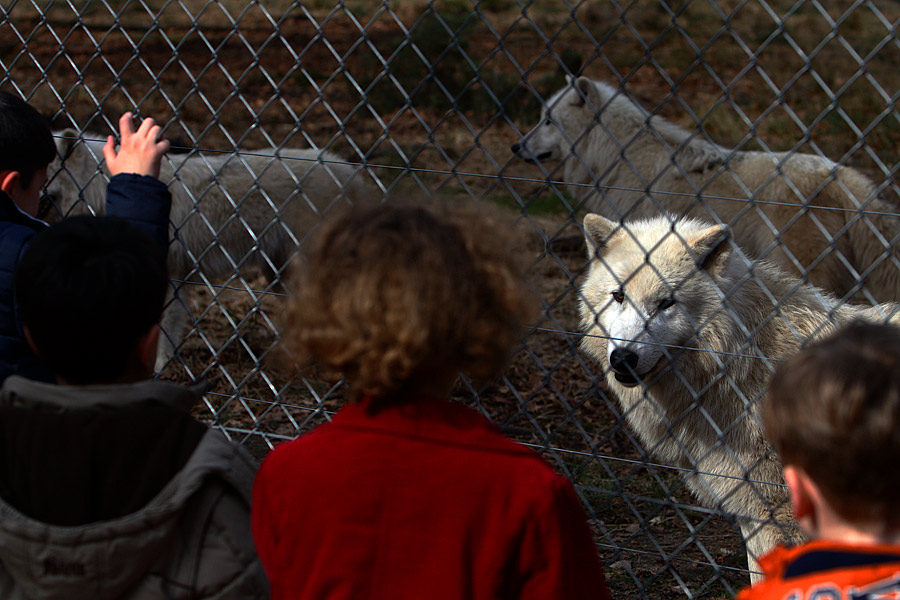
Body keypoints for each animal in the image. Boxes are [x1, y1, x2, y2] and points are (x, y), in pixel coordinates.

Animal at [44, 130, 370, 370]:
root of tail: (351, 173)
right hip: (277, 272)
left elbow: (164, 330)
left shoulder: (171, 276)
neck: (105, 186)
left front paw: (158, 367)